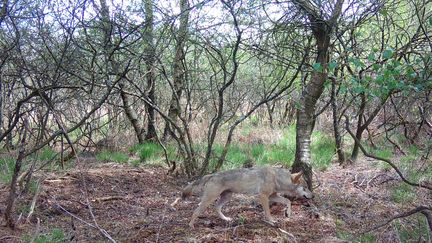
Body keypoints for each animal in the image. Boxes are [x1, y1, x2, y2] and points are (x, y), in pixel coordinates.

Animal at [170, 166, 312, 227]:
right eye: (305, 188)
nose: (313, 195)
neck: (277, 178)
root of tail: (211, 175)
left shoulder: (272, 196)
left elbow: (288, 201)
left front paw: (288, 214)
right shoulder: (263, 197)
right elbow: (267, 212)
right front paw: (271, 221)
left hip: (226, 197)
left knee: (217, 208)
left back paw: (226, 219)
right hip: (209, 199)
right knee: (196, 211)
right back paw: (191, 226)